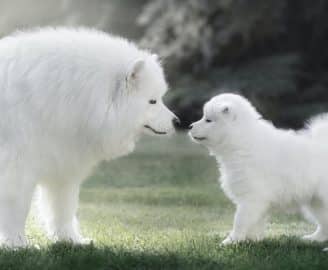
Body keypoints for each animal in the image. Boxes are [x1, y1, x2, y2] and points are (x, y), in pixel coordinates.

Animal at [0, 28, 179, 247]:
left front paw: (71, 240)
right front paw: (17, 244)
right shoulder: (16, 169)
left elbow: (63, 209)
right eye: (152, 101)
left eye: (160, 99)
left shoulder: (62, 166)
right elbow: (16, 209)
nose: (177, 121)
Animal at [188, 94, 328, 246]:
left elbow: (240, 221)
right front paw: (252, 240)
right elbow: (256, 222)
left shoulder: (251, 197)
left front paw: (230, 241)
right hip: (316, 201)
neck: (241, 142)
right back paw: (313, 239)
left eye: (208, 120)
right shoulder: (257, 200)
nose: (189, 126)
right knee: (324, 223)